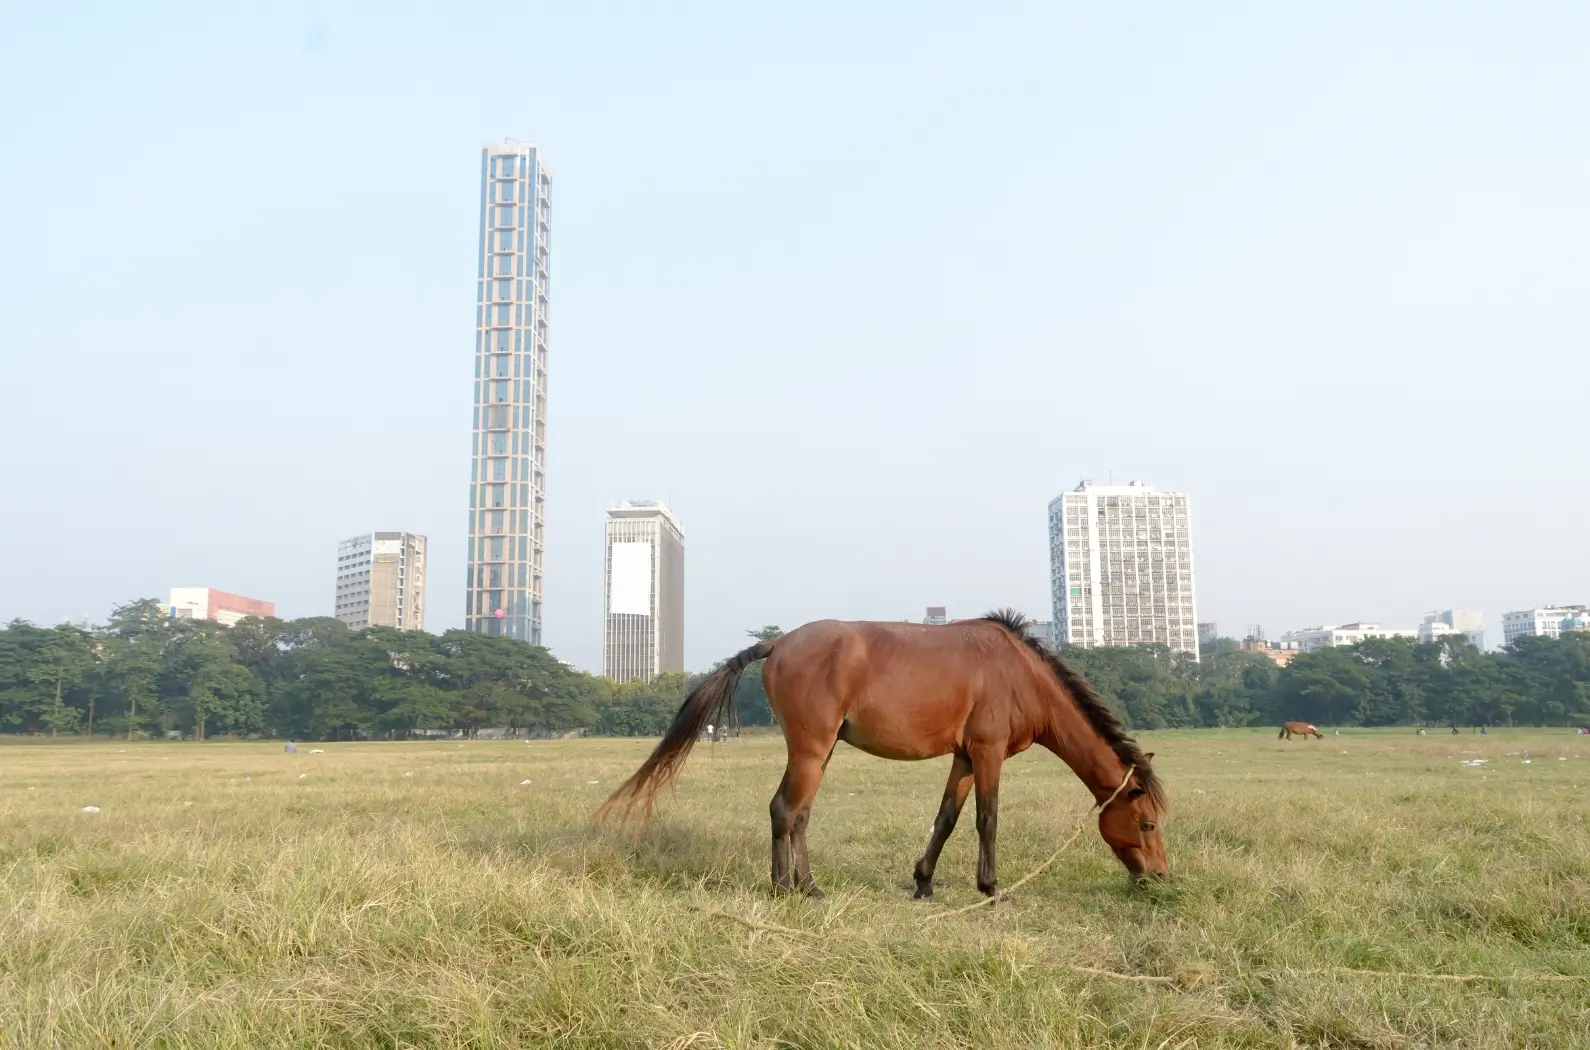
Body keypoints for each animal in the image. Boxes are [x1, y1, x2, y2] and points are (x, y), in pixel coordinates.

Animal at [597, 610, 1170, 897]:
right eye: (1146, 824)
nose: (1161, 877)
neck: (1017, 673)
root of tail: (778, 644)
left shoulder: (964, 757)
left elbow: (946, 819)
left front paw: (924, 884)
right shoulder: (987, 753)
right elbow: (987, 819)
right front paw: (991, 887)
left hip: (822, 752)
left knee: (799, 814)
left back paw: (807, 886)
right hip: (811, 750)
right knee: (784, 809)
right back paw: (785, 890)